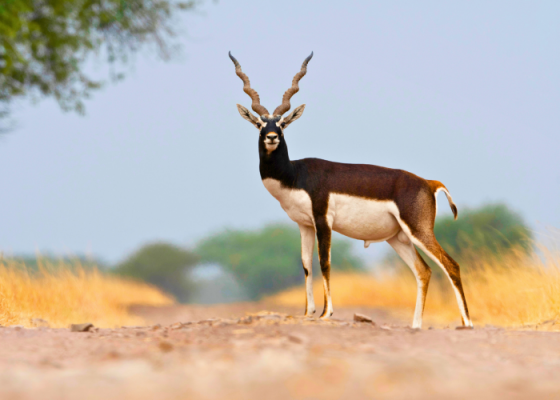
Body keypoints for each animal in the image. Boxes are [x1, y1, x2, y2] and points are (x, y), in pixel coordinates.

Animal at [228, 51, 472, 330]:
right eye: (259, 123)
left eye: (282, 123)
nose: (271, 137)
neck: (295, 174)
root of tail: (429, 183)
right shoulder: (304, 224)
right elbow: (306, 265)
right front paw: (308, 312)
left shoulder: (323, 220)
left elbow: (324, 262)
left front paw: (326, 313)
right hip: (398, 238)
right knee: (424, 271)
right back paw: (416, 325)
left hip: (419, 230)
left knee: (451, 265)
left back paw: (467, 323)